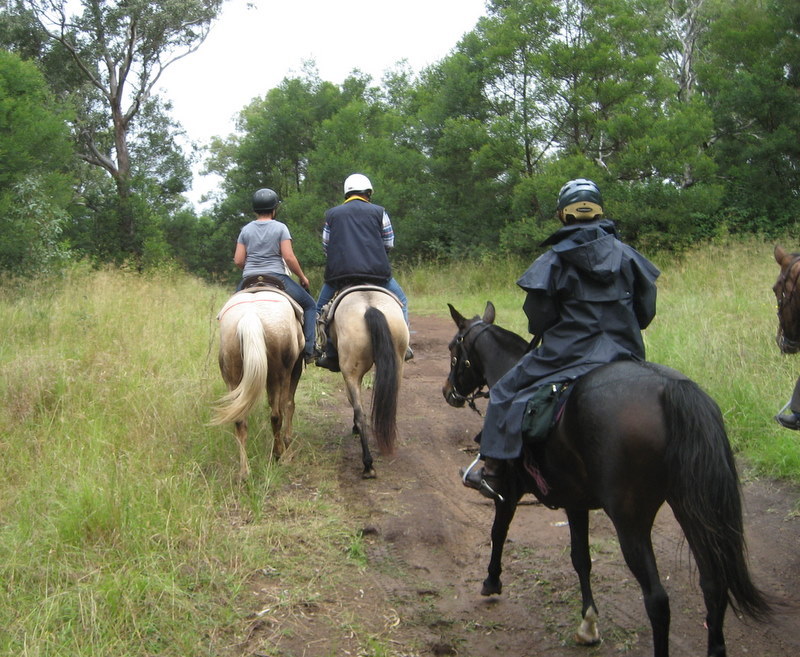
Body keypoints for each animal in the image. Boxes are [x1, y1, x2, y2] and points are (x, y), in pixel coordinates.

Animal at [209, 290, 304, 480]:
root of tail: (250, 316)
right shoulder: (295, 368)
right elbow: (289, 405)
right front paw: (288, 449)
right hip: (279, 375)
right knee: (277, 414)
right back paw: (279, 454)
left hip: (233, 377)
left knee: (240, 421)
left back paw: (244, 472)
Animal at [328, 288, 410, 476]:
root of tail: (370, 307)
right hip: (398, 364)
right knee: (389, 405)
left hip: (351, 373)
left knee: (360, 413)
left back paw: (368, 464)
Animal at [444, 302, 768, 656]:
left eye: (453, 351)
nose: (447, 391)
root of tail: (670, 390)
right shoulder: (575, 503)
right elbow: (581, 559)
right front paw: (588, 623)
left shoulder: (509, 493)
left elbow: (498, 532)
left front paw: (491, 582)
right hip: (690, 508)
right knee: (713, 584)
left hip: (630, 522)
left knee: (657, 600)